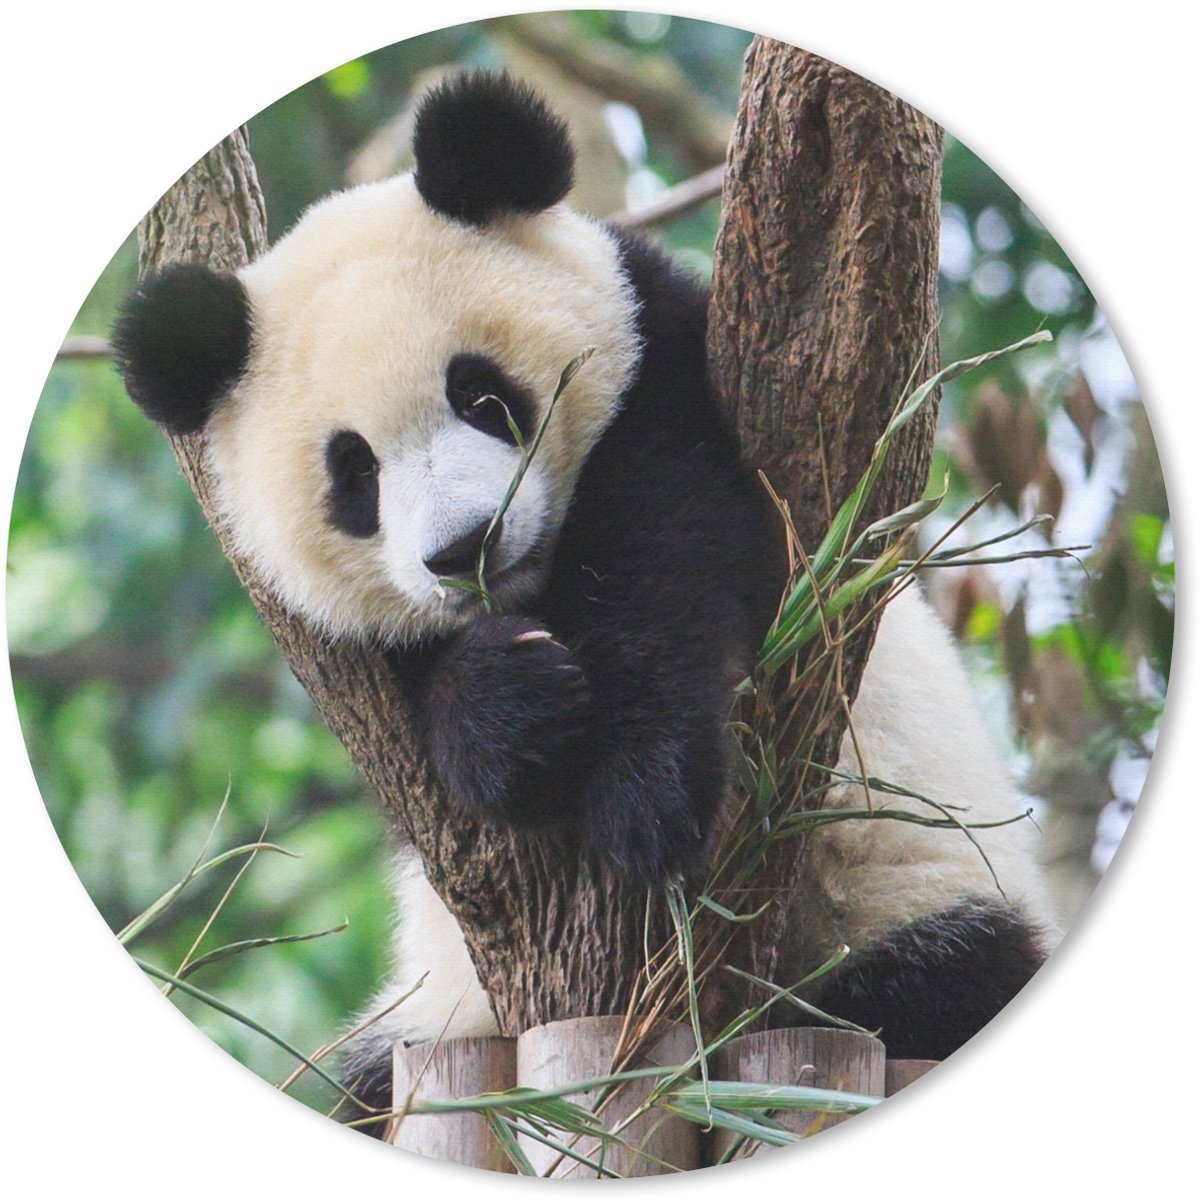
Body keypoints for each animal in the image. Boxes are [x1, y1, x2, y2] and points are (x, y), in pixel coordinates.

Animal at [113, 72, 1058, 1131]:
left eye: (481, 395)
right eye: (353, 473)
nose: (466, 548)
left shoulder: (671, 371)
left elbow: (676, 544)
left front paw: (643, 793)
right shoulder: (352, 659)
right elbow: (414, 704)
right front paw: (509, 710)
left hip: (909, 893)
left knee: (938, 985)